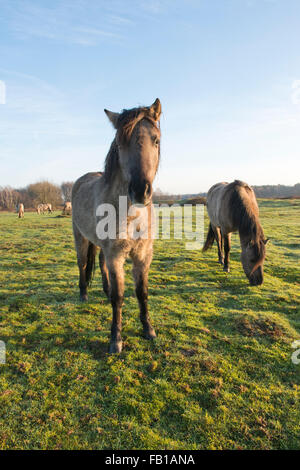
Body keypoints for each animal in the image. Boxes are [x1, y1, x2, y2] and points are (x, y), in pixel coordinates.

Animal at [72, 98, 162, 352]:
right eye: (121, 144)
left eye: (156, 140)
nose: (140, 191)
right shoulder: (116, 256)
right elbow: (119, 296)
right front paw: (116, 339)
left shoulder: (143, 255)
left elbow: (142, 292)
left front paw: (148, 329)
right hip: (80, 238)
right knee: (83, 264)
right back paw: (83, 294)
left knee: (100, 263)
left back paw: (103, 290)